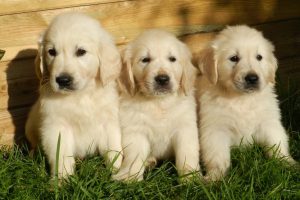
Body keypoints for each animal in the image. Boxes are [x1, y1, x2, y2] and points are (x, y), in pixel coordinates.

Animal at [25, 12, 122, 178]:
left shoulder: (109, 122)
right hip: (31, 124)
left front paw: (121, 174)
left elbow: (114, 149)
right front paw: (61, 180)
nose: (63, 80)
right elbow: (61, 156)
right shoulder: (57, 127)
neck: (80, 96)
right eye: (52, 52)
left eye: (81, 51)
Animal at [113, 29, 202, 181]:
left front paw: (191, 176)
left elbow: (187, 153)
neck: (158, 102)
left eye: (172, 59)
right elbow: (134, 156)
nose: (162, 79)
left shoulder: (185, 127)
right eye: (145, 59)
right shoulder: (136, 130)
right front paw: (130, 177)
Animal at [197, 25, 296, 181]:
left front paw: (289, 163)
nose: (252, 78)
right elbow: (217, 156)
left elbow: (277, 143)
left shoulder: (268, 122)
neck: (241, 99)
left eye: (259, 57)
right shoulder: (215, 129)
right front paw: (215, 177)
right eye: (234, 58)